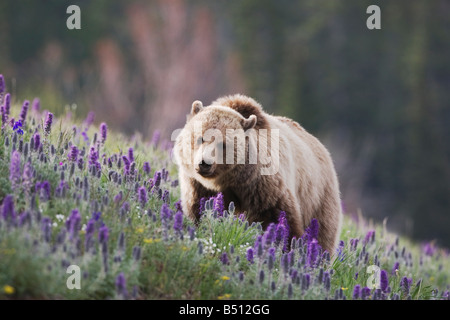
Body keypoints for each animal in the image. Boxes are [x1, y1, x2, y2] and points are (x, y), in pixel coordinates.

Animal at [172, 94, 342, 254]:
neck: (228, 180)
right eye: (200, 138)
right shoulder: (199, 186)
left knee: (323, 232)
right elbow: (199, 210)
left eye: (223, 144)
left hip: (318, 197)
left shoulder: (261, 187)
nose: (204, 163)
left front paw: (286, 248)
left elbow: (279, 218)